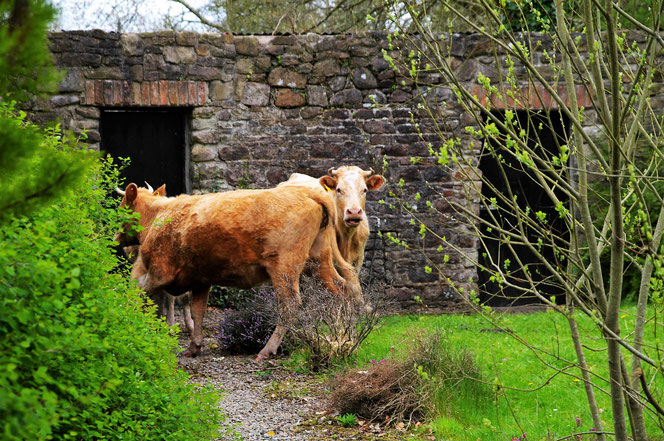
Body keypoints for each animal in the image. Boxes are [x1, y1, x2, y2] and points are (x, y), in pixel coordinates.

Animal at [116, 181, 360, 358]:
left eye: (121, 208)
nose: (117, 237)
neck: (159, 215)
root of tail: (307, 192)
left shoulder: (159, 273)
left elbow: (138, 295)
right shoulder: (201, 280)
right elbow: (198, 311)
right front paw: (195, 346)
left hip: (285, 267)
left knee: (290, 304)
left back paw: (267, 350)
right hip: (318, 262)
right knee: (341, 289)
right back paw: (344, 334)